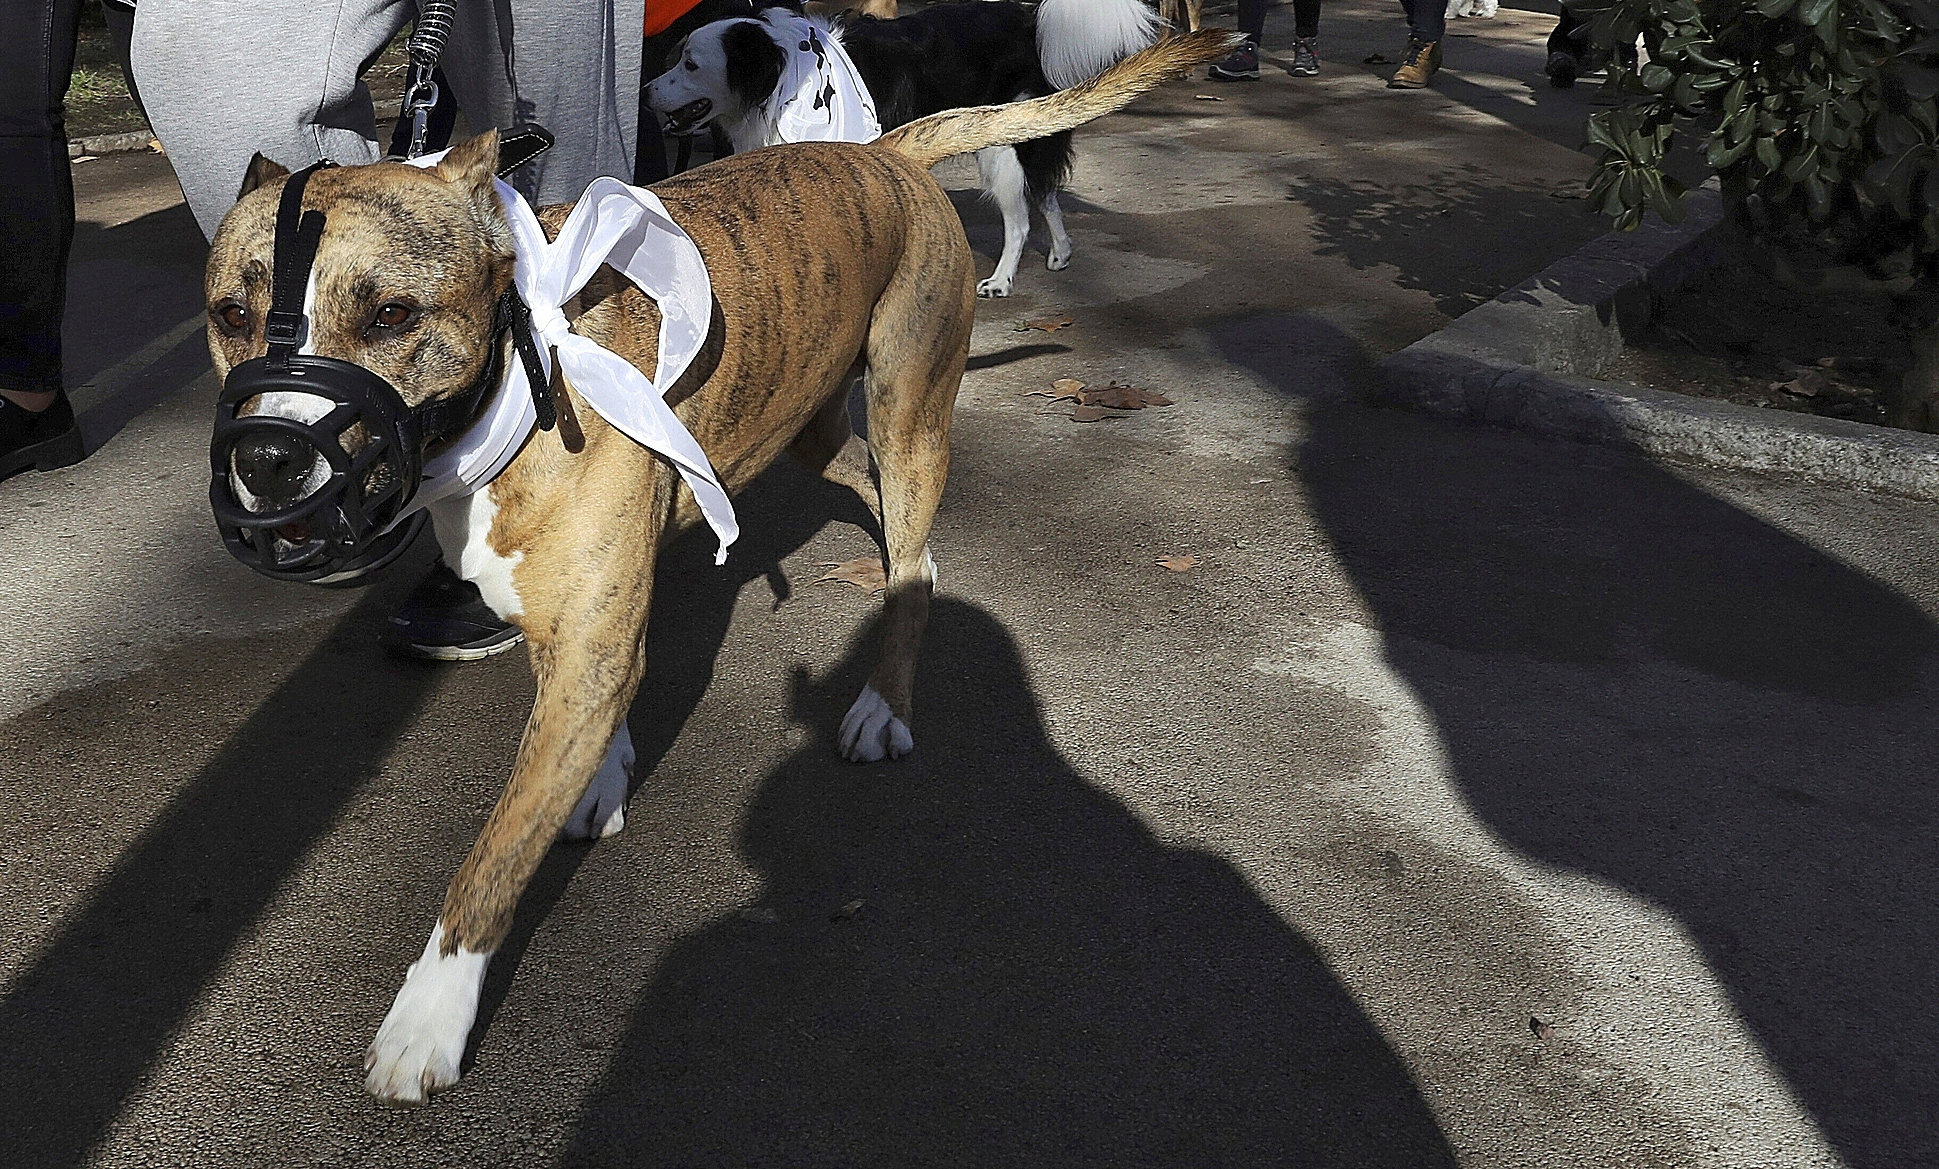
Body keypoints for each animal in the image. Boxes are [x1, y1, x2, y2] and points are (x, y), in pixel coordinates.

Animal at [643, 0, 1155, 296]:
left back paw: (1001, 279)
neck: (784, 79)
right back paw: (1061, 252)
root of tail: (1034, 20)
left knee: (1022, 218)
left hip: (1001, 146)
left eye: (690, 64)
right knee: (1046, 191)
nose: (645, 93)